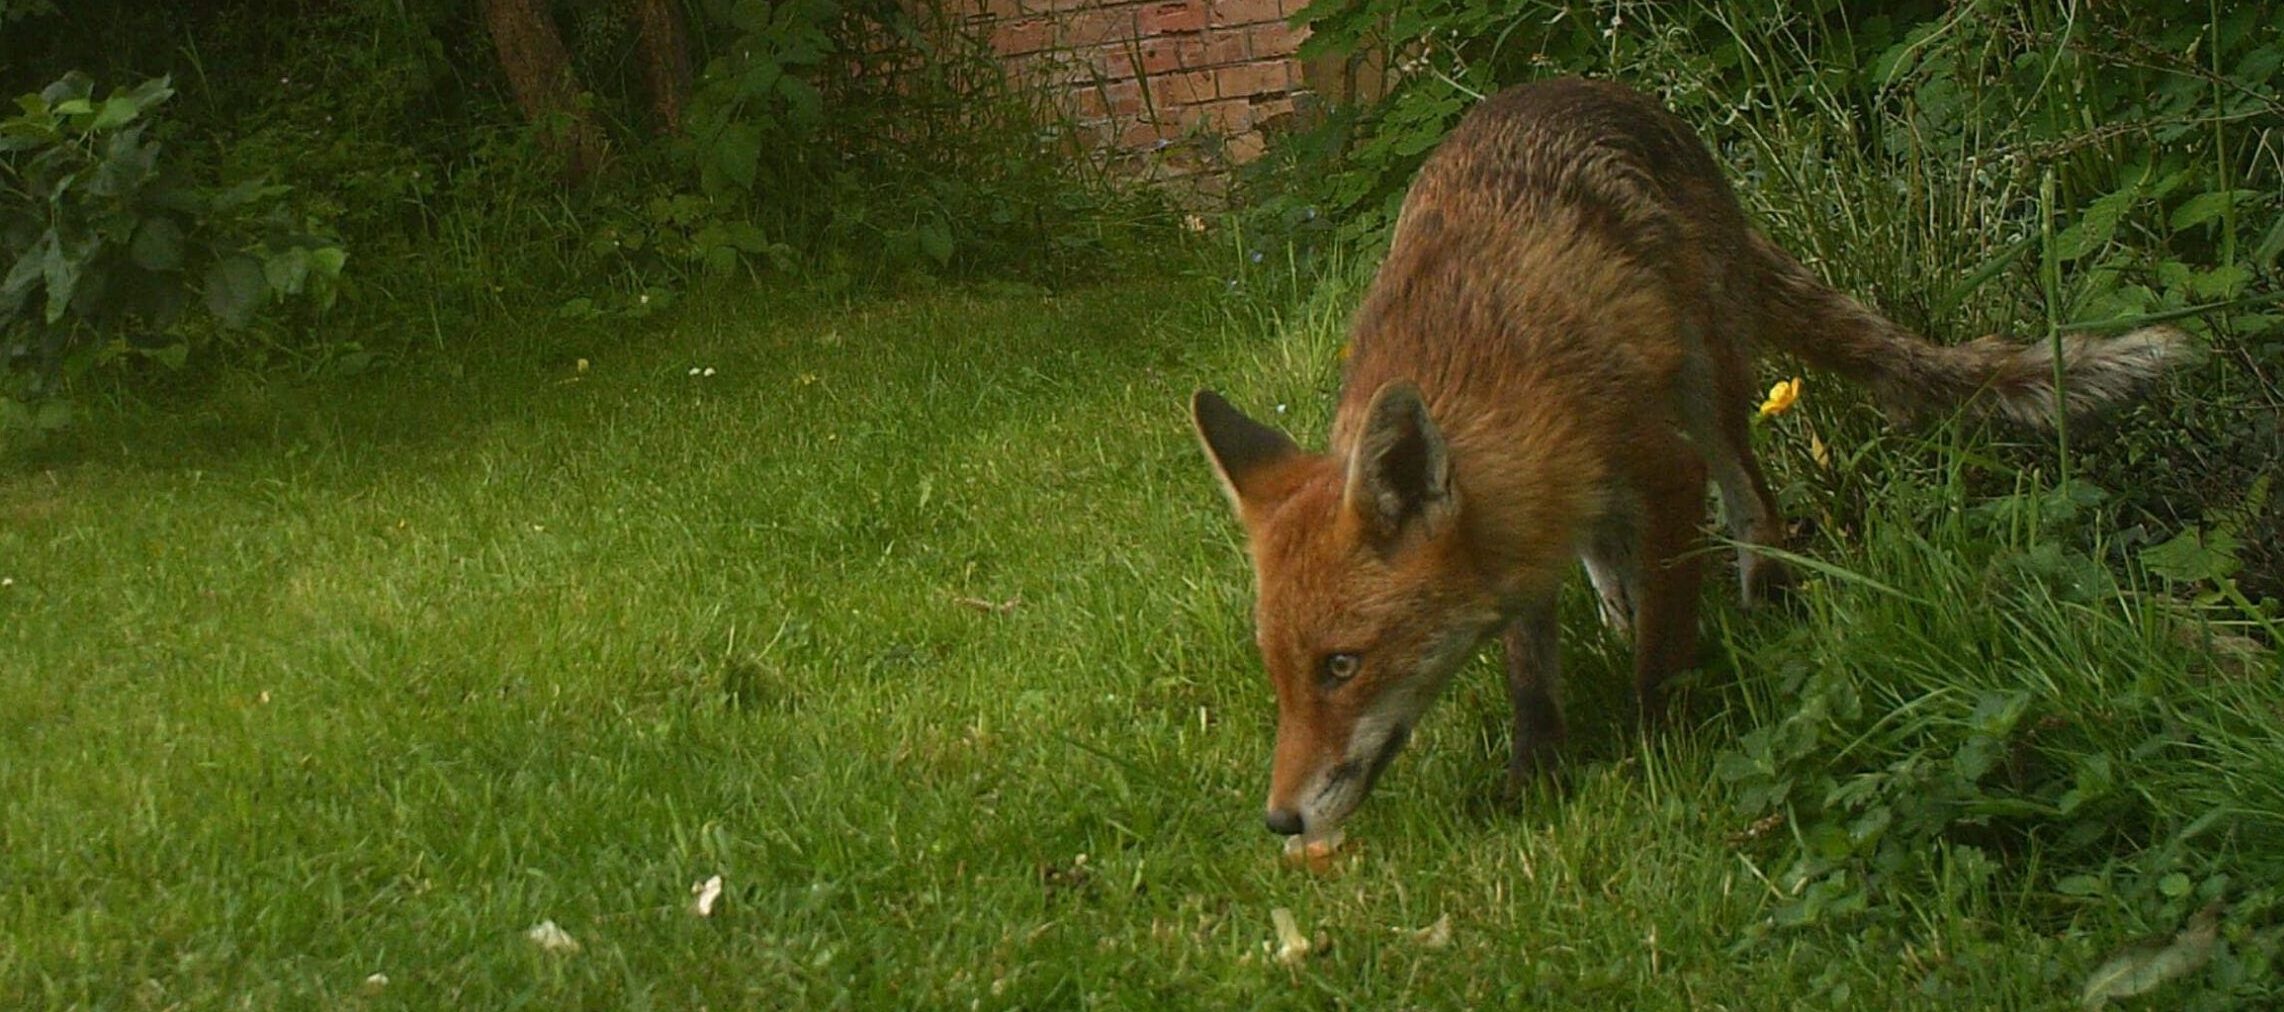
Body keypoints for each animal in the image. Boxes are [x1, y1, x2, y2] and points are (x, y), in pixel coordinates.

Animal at [1191, 77, 2188, 850]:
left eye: (1342, 666)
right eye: (1279, 669)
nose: (1280, 822)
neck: (1489, 386)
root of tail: (1604, 90)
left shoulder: (1664, 470)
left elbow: (1664, 647)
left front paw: (1658, 747)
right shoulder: (1522, 544)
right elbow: (1530, 674)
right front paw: (1534, 777)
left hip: (1713, 387)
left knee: (1754, 505)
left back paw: (1764, 601)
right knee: (1615, 558)